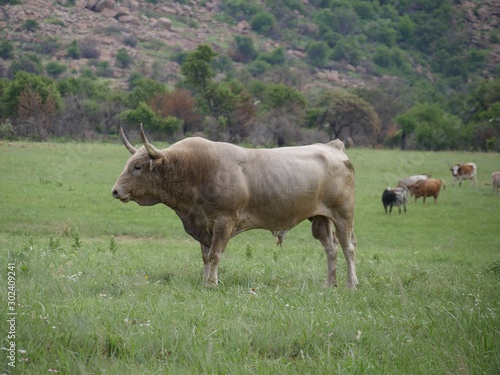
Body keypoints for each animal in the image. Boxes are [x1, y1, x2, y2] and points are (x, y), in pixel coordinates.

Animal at [111, 125, 358, 288]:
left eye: (137, 167)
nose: (115, 191)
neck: (196, 170)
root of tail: (333, 148)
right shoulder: (203, 224)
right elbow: (205, 255)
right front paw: (205, 280)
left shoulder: (224, 222)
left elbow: (214, 255)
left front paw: (212, 283)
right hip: (320, 219)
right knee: (331, 248)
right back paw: (329, 284)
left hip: (343, 215)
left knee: (348, 247)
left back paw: (351, 283)